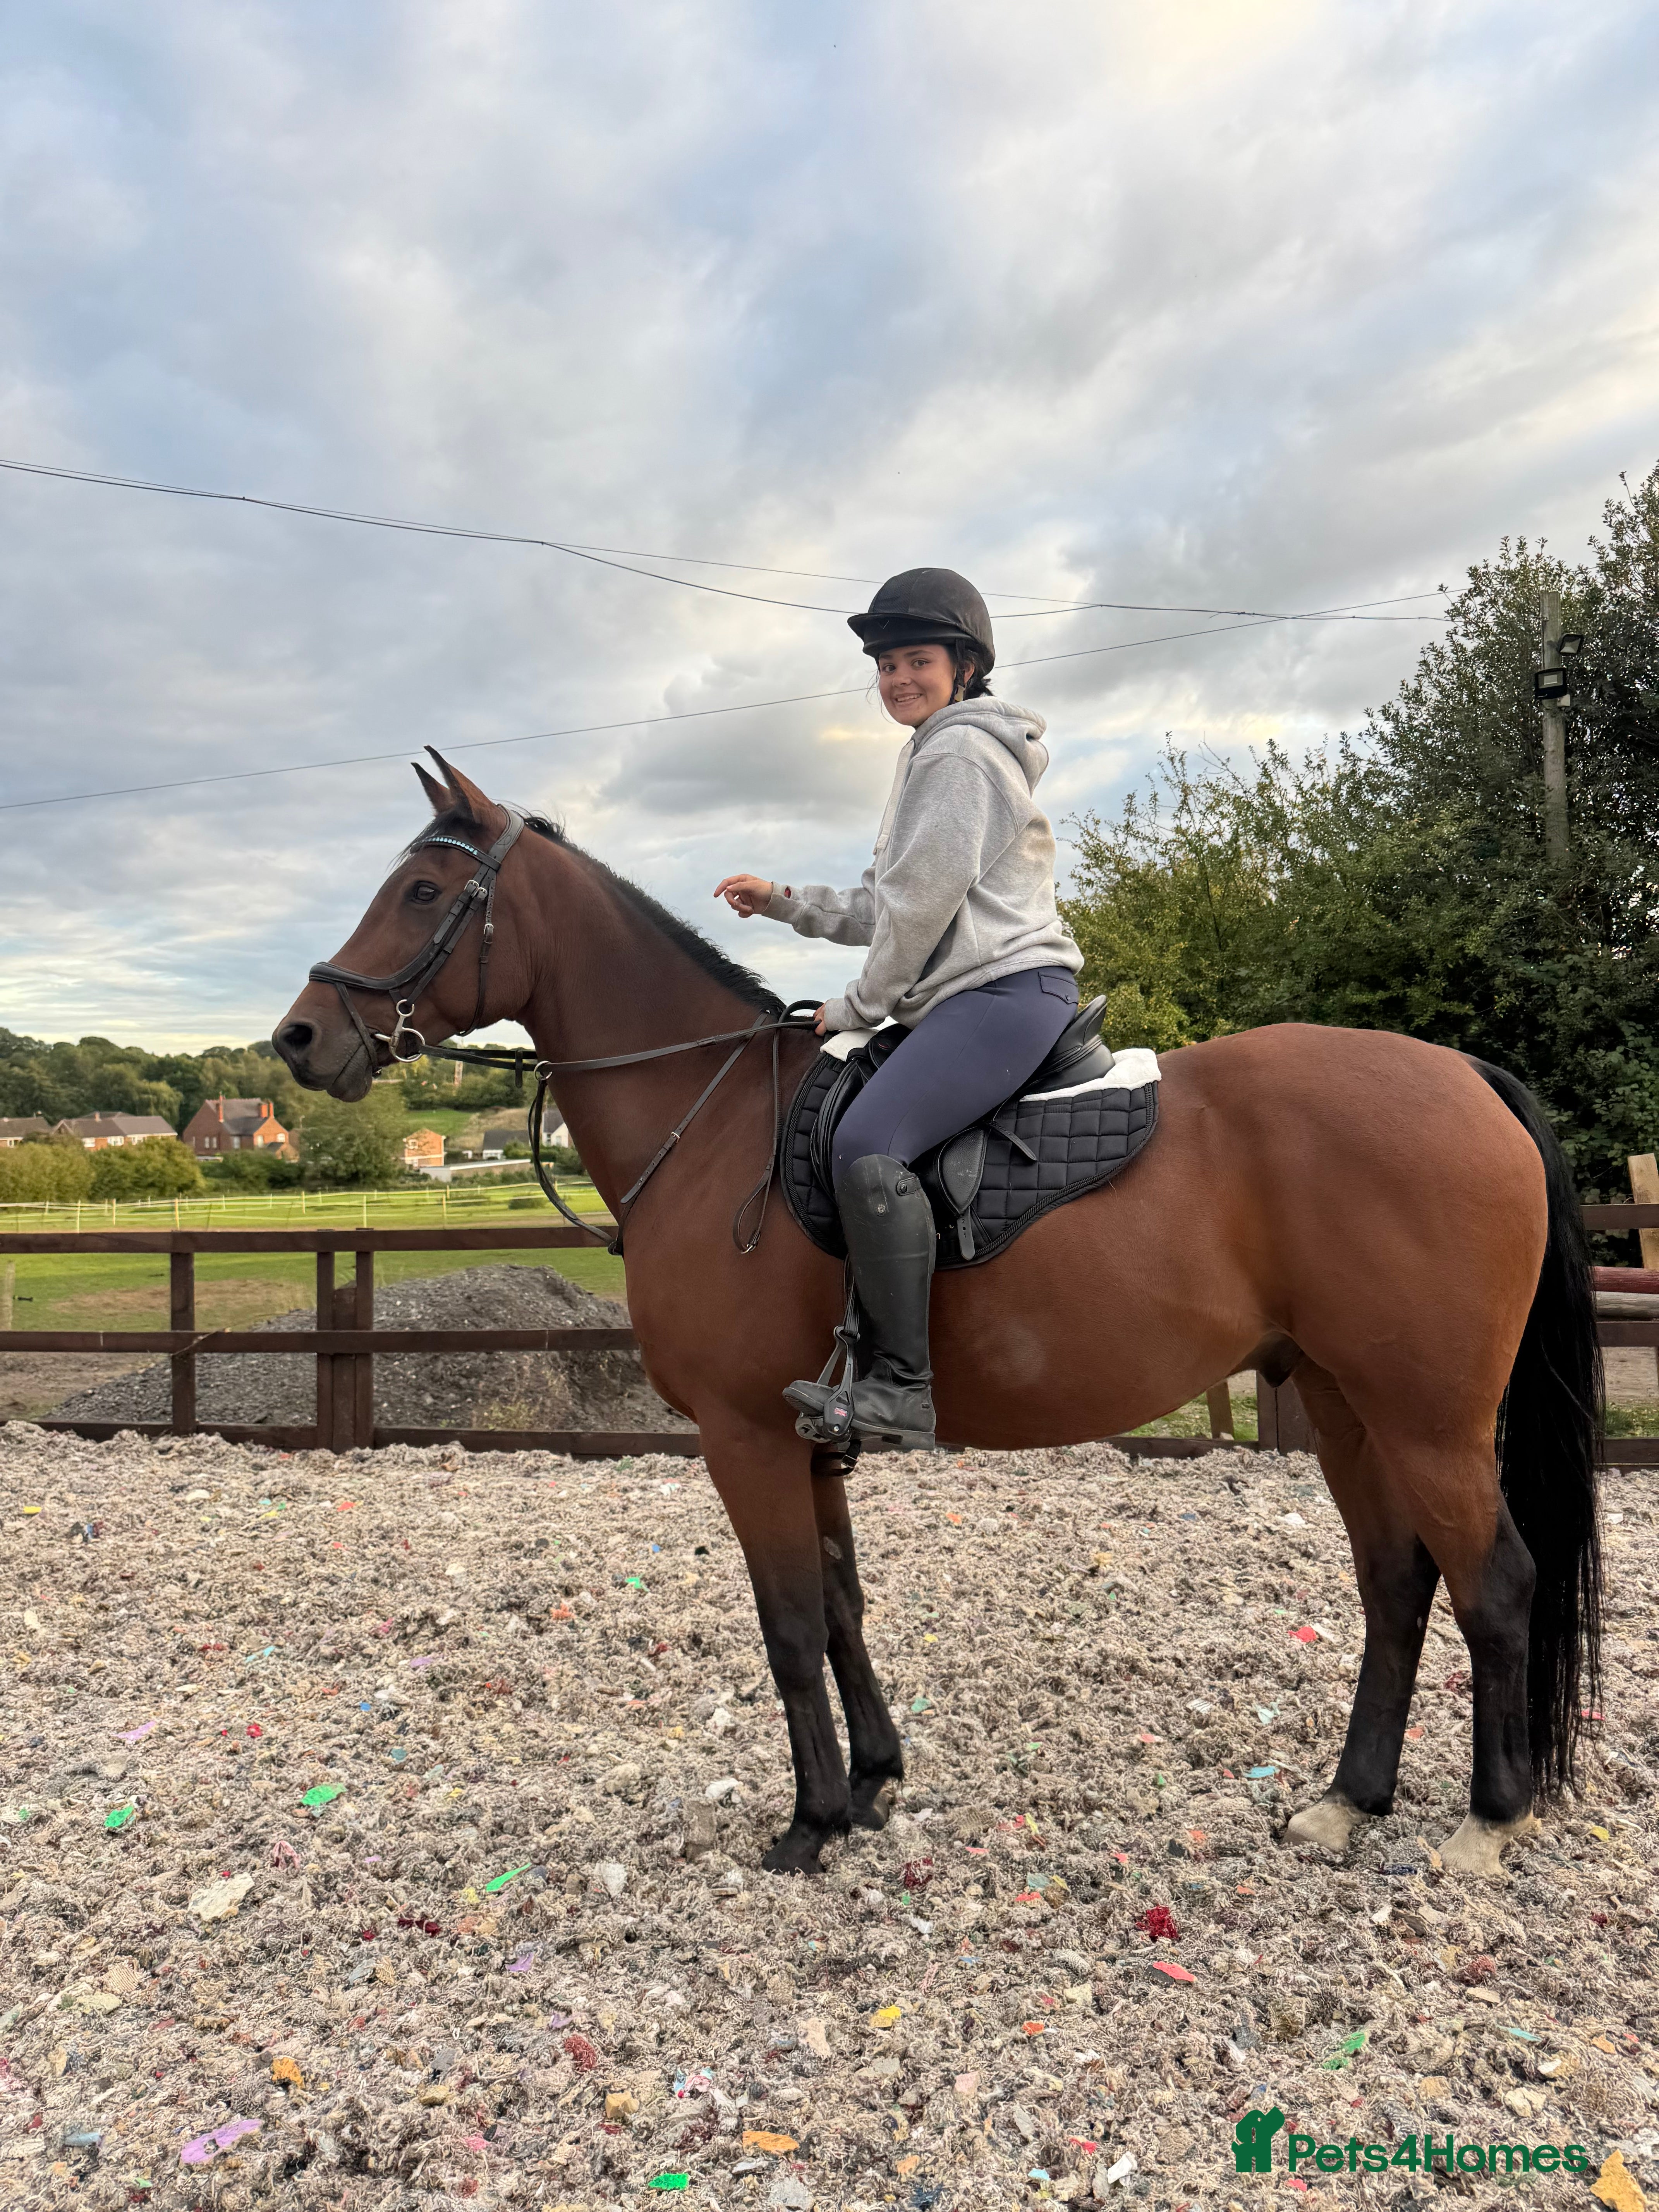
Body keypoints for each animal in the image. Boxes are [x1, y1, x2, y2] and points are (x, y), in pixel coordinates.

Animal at [272, 752, 1602, 1879]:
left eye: (424, 889)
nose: (297, 1036)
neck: (710, 1124)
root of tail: (1462, 1072)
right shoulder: (808, 1442)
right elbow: (841, 1607)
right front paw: (871, 1784)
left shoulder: (744, 1438)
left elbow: (789, 1624)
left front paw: (810, 1821)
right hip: (1341, 1402)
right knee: (1395, 1581)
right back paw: (1347, 1798)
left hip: (1428, 1417)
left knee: (1497, 1585)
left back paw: (1486, 1821)